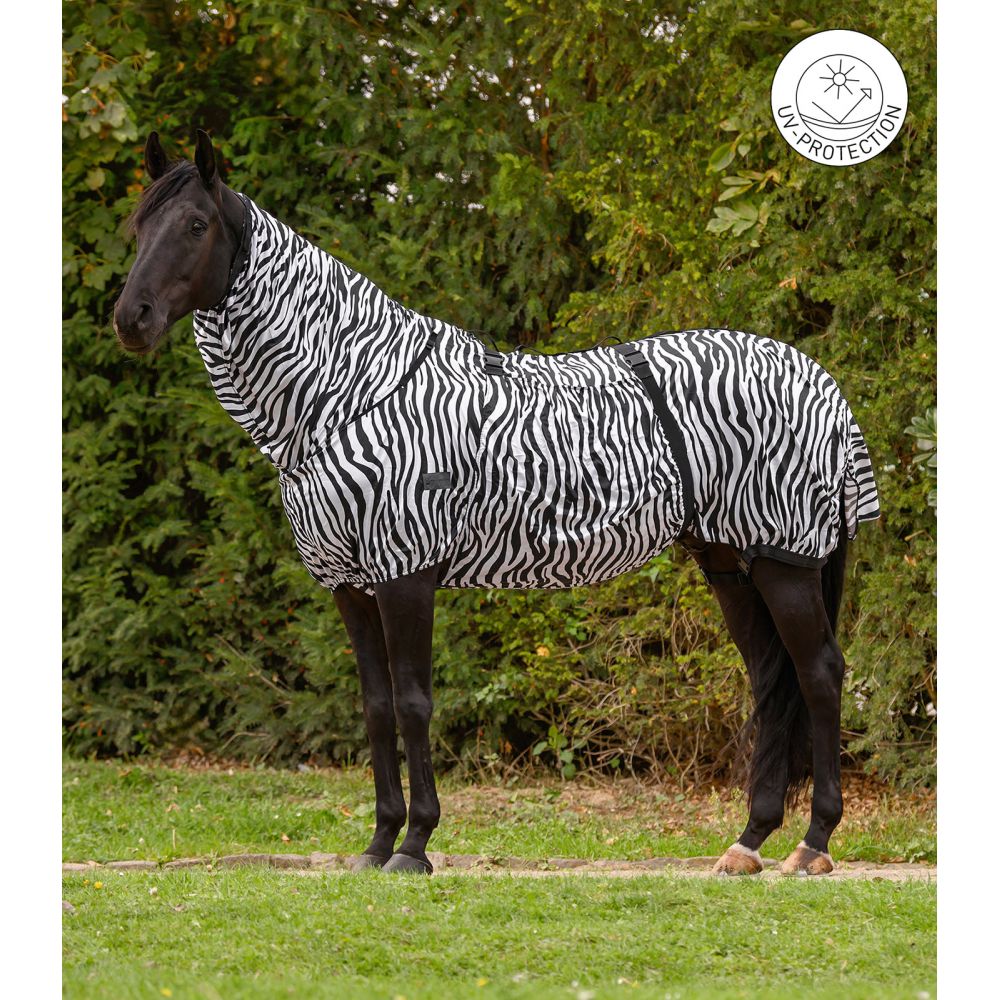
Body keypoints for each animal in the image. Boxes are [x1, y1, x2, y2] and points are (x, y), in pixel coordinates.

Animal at [113, 130, 880, 877]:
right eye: (139, 225)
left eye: (195, 225)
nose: (131, 320)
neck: (348, 390)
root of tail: (821, 382)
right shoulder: (349, 585)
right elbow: (376, 707)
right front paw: (377, 843)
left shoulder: (406, 573)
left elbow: (415, 703)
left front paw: (415, 845)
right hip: (729, 563)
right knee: (771, 680)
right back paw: (748, 843)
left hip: (784, 561)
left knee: (818, 674)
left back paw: (813, 844)